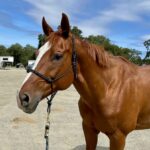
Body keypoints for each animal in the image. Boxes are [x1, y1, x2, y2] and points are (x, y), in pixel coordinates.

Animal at [17, 13, 150, 149]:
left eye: (58, 55)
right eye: (37, 53)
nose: (22, 98)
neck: (109, 89)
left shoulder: (118, 137)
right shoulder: (88, 129)